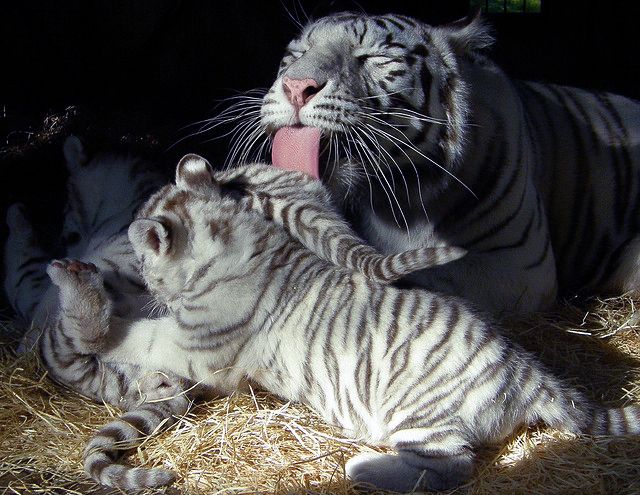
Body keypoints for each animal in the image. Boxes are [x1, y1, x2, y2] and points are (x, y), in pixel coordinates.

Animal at [43, 154, 640, 492]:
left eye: (145, 262)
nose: (144, 278)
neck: (236, 236)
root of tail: (529, 373)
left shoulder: (195, 344)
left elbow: (133, 337)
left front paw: (84, 305)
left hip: (417, 412)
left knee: (452, 467)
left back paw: (362, 469)